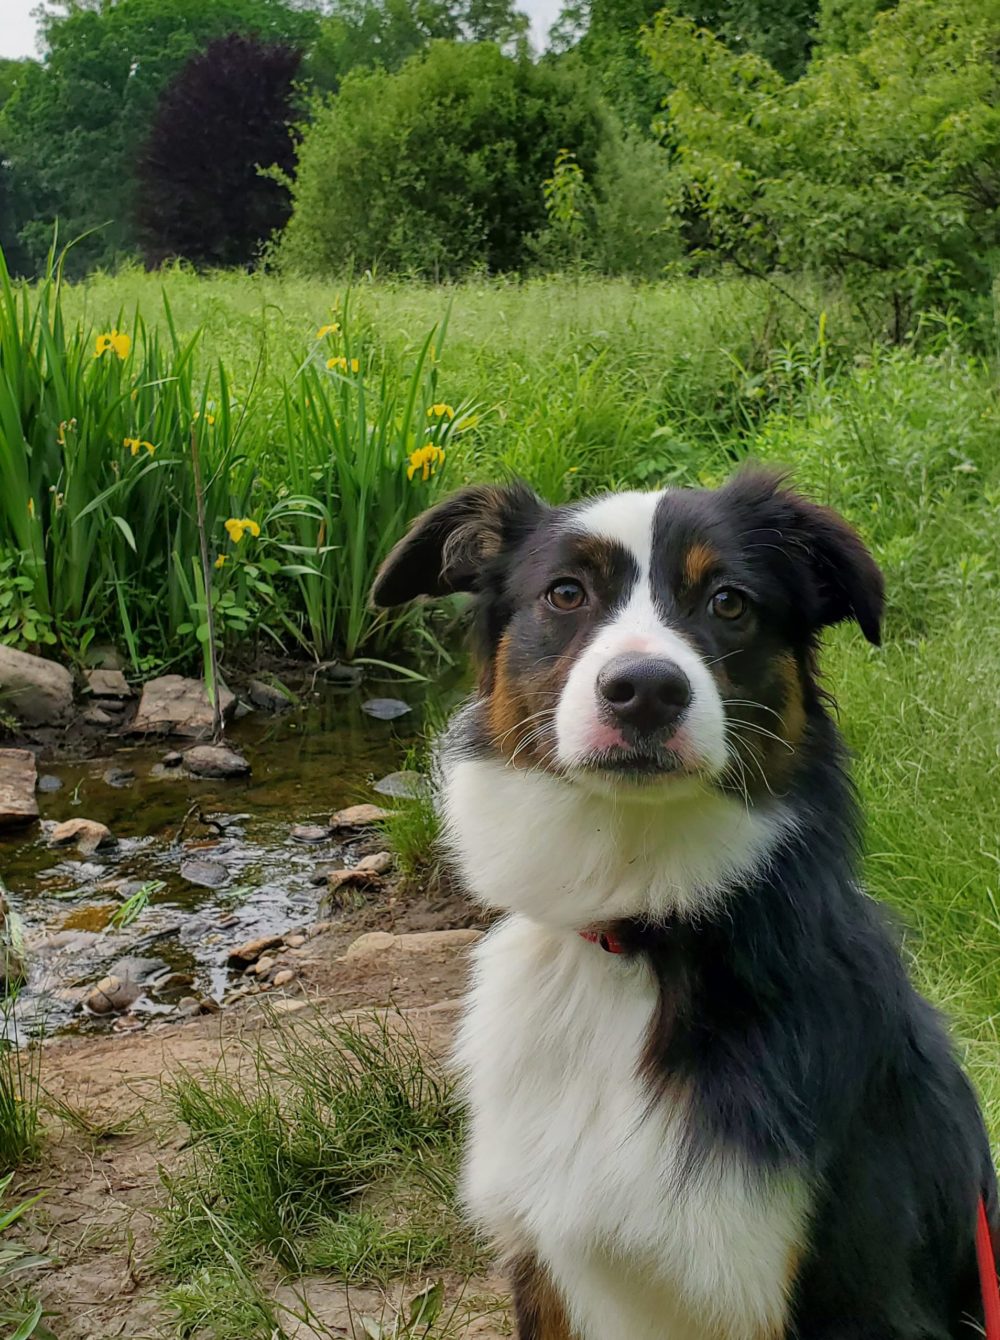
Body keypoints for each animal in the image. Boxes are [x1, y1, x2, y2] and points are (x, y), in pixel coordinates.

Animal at [369, 469, 991, 1340]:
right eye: (566, 593)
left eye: (729, 601)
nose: (644, 692)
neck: (636, 933)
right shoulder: (544, 1272)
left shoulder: (852, 1294)